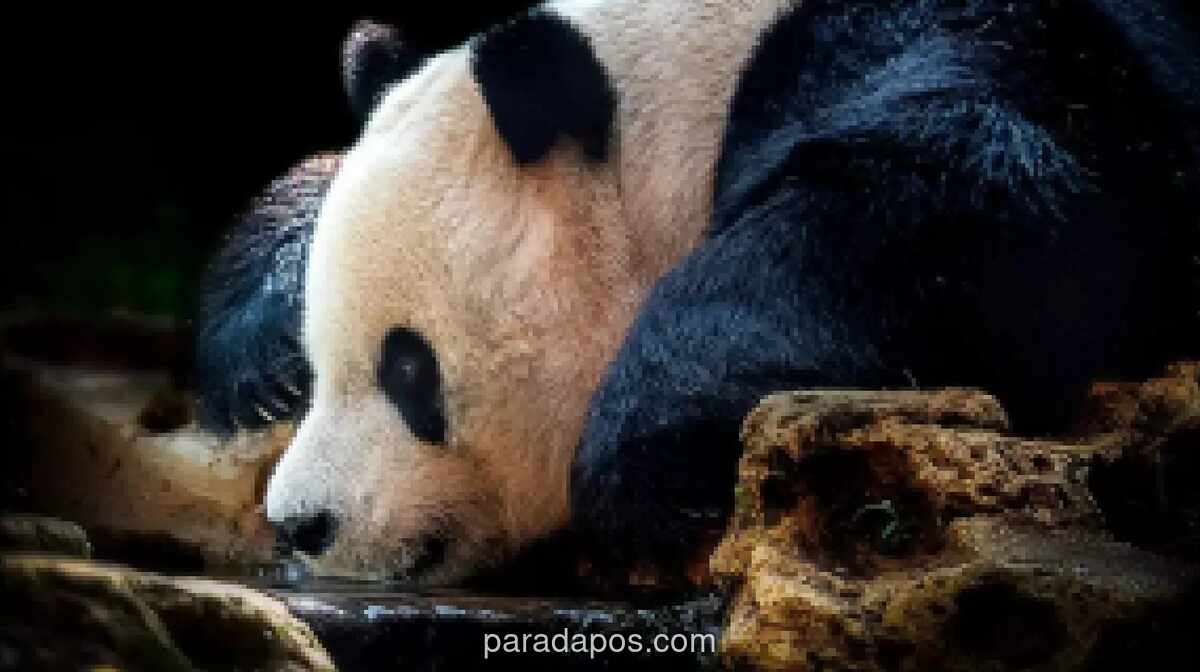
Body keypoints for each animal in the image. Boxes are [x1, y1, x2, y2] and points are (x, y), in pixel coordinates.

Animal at [197, 0, 1200, 586]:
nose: (301, 525)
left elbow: (981, 194)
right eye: (322, 358)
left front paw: (652, 470)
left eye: (411, 372)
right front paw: (259, 369)